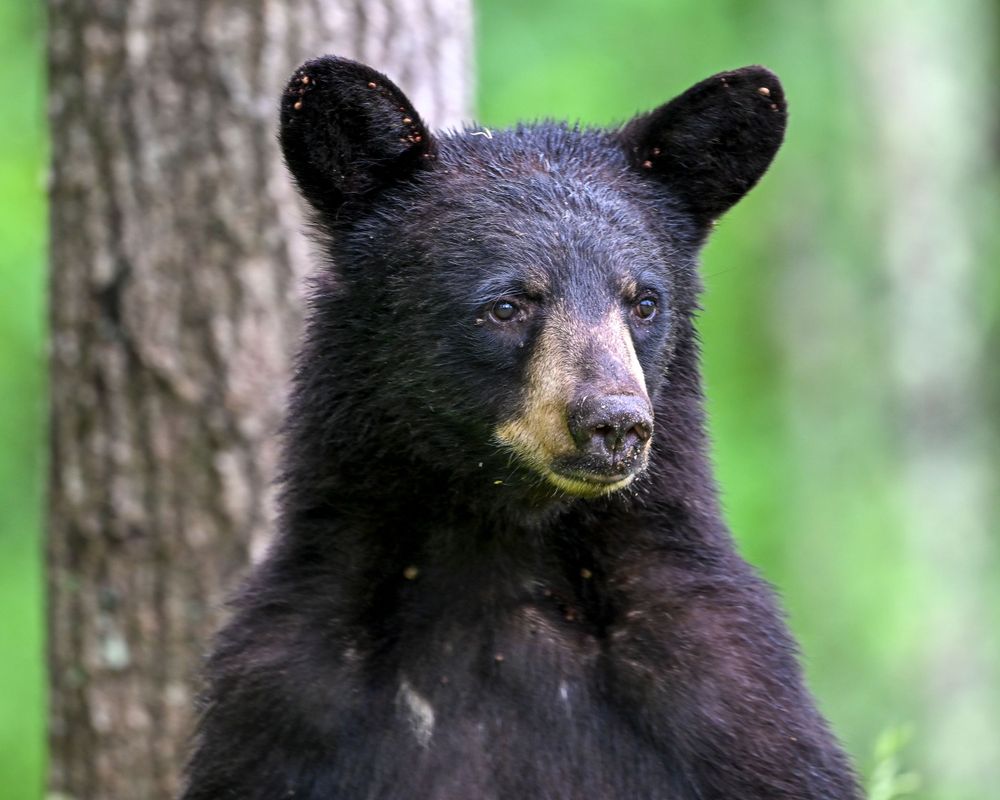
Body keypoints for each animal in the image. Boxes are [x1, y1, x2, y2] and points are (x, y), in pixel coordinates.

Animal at [181, 56, 861, 800]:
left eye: (644, 301)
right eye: (506, 305)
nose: (615, 423)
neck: (494, 550)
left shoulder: (732, 697)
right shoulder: (285, 704)